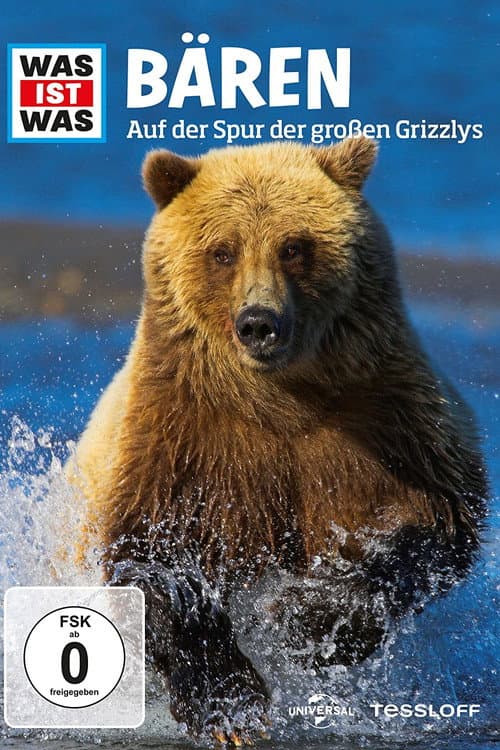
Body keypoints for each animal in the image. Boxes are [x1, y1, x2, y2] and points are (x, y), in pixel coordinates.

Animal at [69, 137, 487, 745]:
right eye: (222, 251)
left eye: (294, 246)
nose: (259, 322)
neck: (280, 396)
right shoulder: (179, 441)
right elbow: (150, 564)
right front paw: (229, 707)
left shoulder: (387, 421)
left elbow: (430, 526)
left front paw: (299, 620)